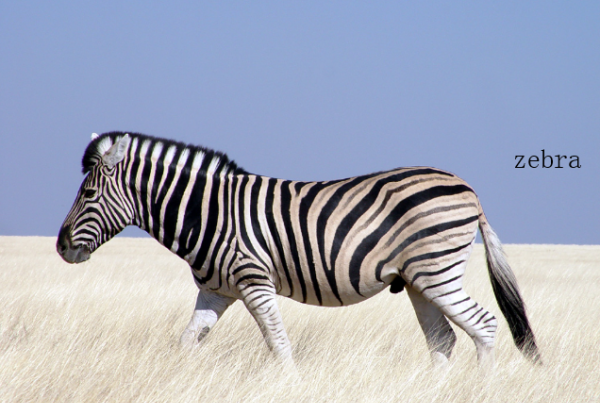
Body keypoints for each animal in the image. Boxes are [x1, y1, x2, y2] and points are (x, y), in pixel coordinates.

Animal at [58, 131, 540, 370]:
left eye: (89, 193)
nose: (62, 248)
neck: (208, 211)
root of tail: (468, 188)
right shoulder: (216, 291)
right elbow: (187, 342)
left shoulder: (253, 281)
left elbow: (279, 345)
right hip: (418, 280)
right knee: (444, 340)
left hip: (436, 272)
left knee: (484, 327)